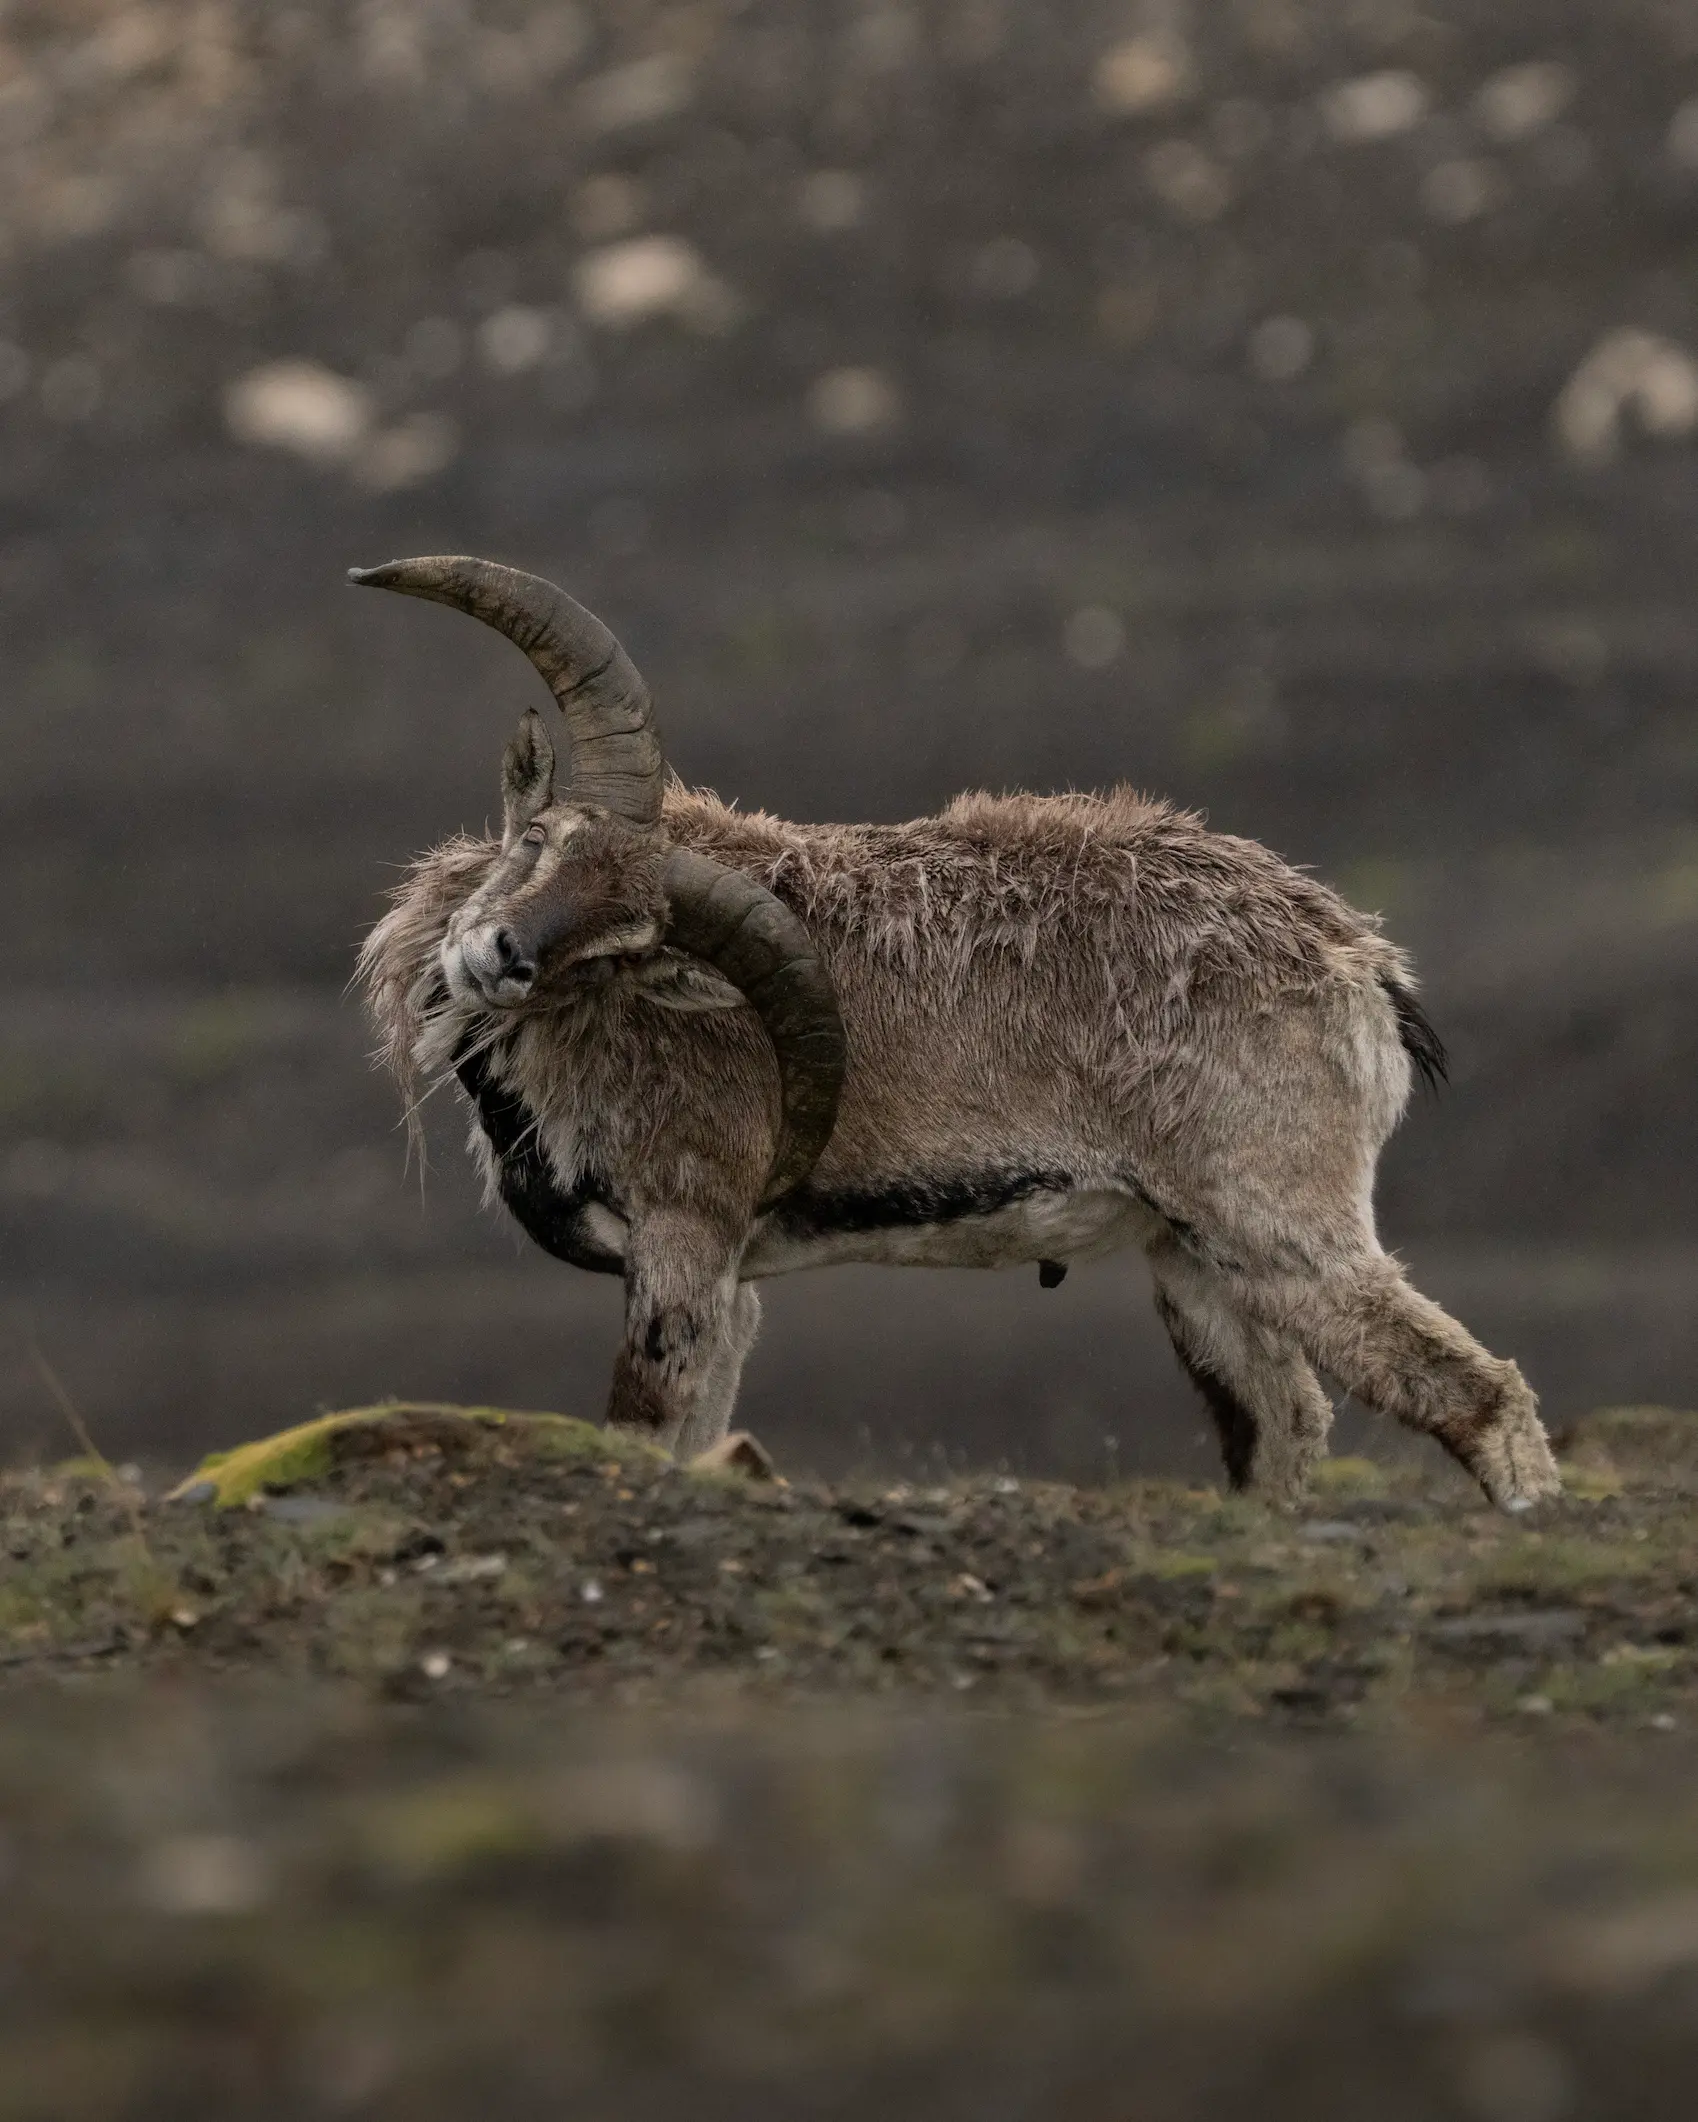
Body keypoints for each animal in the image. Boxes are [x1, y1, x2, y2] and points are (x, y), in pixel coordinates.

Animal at [355, 556, 1560, 1511]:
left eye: (625, 940)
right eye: (543, 839)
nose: (501, 954)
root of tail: (1361, 967)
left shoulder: (685, 1244)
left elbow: (643, 1429)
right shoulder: (731, 1289)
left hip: (1283, 1226)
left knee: (1473, 1393)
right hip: (1195, 1257)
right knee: (1280, 1426)